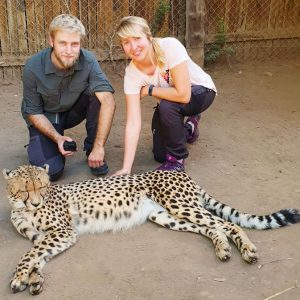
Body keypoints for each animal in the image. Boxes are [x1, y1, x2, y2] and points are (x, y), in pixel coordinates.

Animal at [2, 165, 300, 294]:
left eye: (42, 186)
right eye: (26, 189)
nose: (36, 201)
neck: (21, 207)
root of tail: (179, 172)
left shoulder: (63, 232)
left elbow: (29, 255)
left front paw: (19, 278)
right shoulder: (46, 236)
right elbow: (38, 256)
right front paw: (34, 279)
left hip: (180, 204)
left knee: (228, 224)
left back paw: (247, 249)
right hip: (166, 216)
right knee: (212, 228)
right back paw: (222, 248)